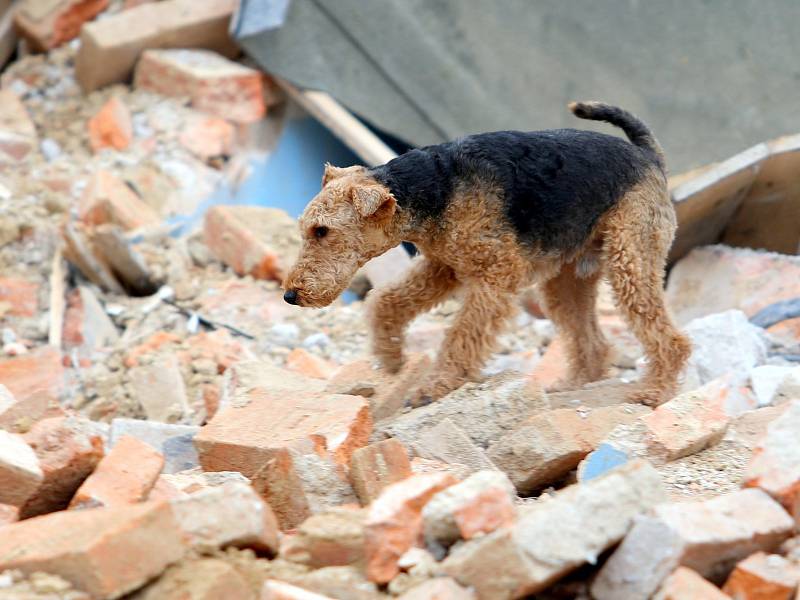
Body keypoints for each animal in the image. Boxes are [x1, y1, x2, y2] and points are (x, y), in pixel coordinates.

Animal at [284, 103, 692, 408]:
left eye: (322, 231)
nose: (290, 295)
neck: (430, 190)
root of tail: (646, 154)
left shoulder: (495, 273)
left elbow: (462, 334)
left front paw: (434, 386)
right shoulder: (444, 266)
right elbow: (387, 301)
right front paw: (391, 358)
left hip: (630, 260)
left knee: (670, 338)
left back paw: (654, 392)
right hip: (568, 279)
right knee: (591, 342)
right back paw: (570, 386)